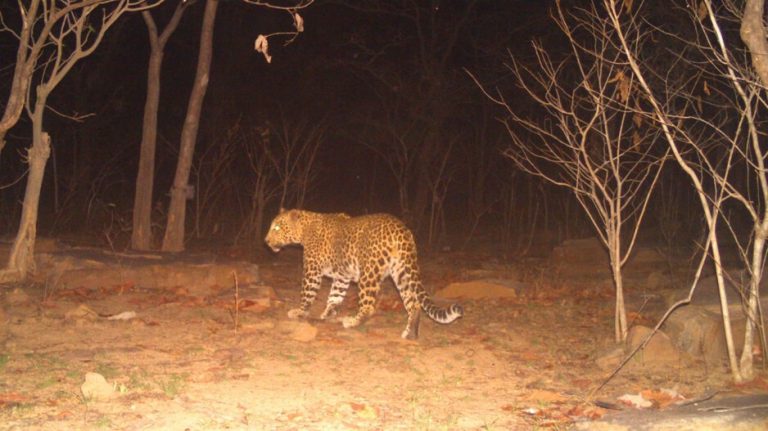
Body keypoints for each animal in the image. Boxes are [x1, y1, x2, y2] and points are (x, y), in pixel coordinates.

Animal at [264, 209, 463, 339]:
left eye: (277, 228)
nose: (266, 241)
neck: (304, 231)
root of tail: (401, 228)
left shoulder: (312, 271)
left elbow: (307, 294)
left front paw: (299, 312)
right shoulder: (342, 276)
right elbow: (335, 295)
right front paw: (328, 313)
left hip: (369, 272)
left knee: (368, 307)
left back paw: (352, 322)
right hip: (402, 271)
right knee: (414, 304)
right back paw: (410, 334)